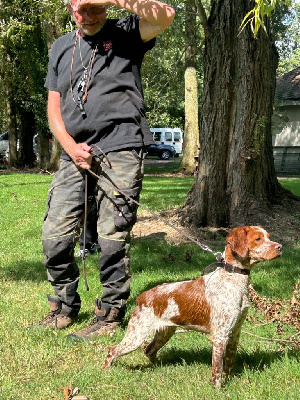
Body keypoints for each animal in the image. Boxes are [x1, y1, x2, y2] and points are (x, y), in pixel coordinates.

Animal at [103, 228, 282, 388]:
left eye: (268, 236)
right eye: (258, 239)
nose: (280, 247)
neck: (232, 278)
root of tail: (141, 297)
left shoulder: (235, 332)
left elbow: (229, 363)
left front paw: (231, 381)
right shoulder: (220, 336)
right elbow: (217, 370)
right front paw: (218, 389)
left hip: (164, 332)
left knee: (148, 350)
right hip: (136, 336)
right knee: (112, 350)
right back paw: (106, 372)